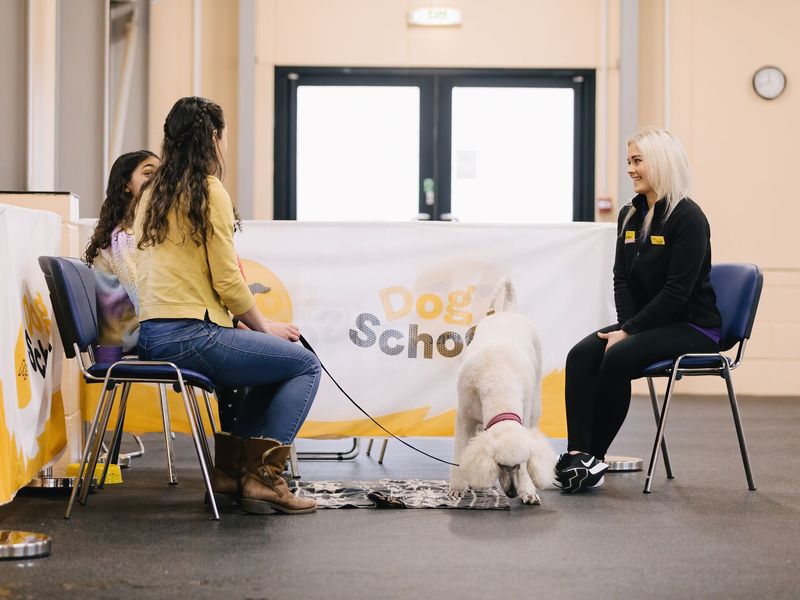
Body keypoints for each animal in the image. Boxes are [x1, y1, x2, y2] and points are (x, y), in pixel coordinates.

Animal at [450, 278, 556, 504]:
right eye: (500, 464)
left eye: (520, 464)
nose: (513, 492)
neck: (498, 382)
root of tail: (509, 312)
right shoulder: (465, 417)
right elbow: (461, 452)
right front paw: (457, 487)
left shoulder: (524, 411)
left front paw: (528, 491)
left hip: (535, 399)